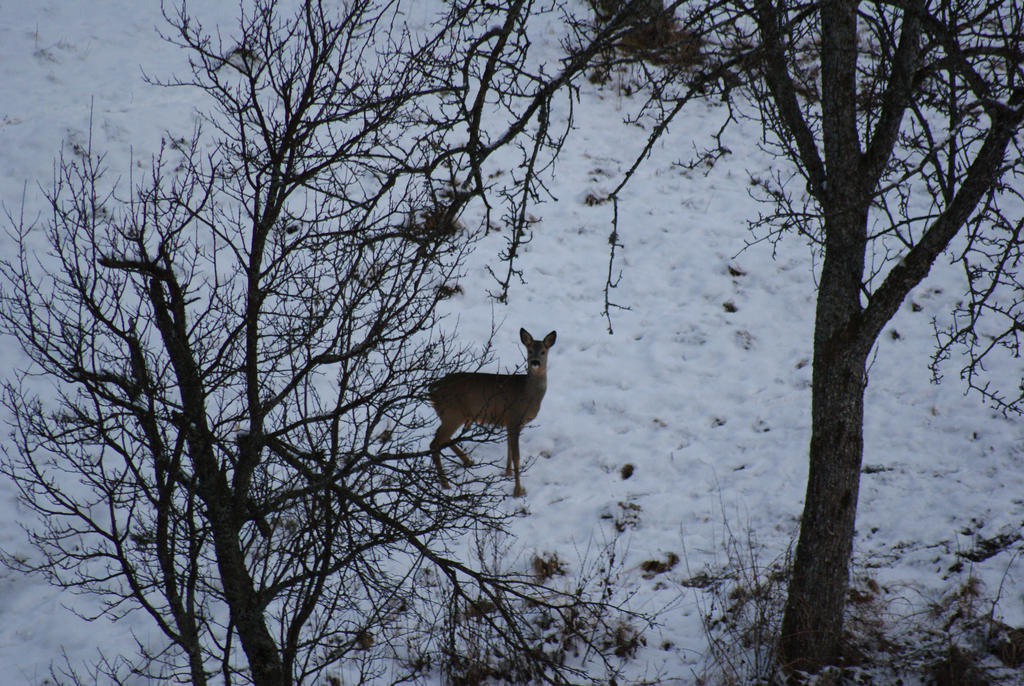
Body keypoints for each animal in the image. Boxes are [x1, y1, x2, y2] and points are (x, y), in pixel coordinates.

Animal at [432, 329, 561, 497]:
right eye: (529, 350)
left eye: (544, 352)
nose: (535, 362)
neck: (527, 394)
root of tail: (432, 390)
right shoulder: (514, 417)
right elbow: (516, 455)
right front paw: (518, 491)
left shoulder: (509, 421)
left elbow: (509, 449)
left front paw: (507, 473)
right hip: (452, 413)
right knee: (435, 443)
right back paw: (445, 484)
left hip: (453, 415)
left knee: (442, 439)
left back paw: (467, 462)